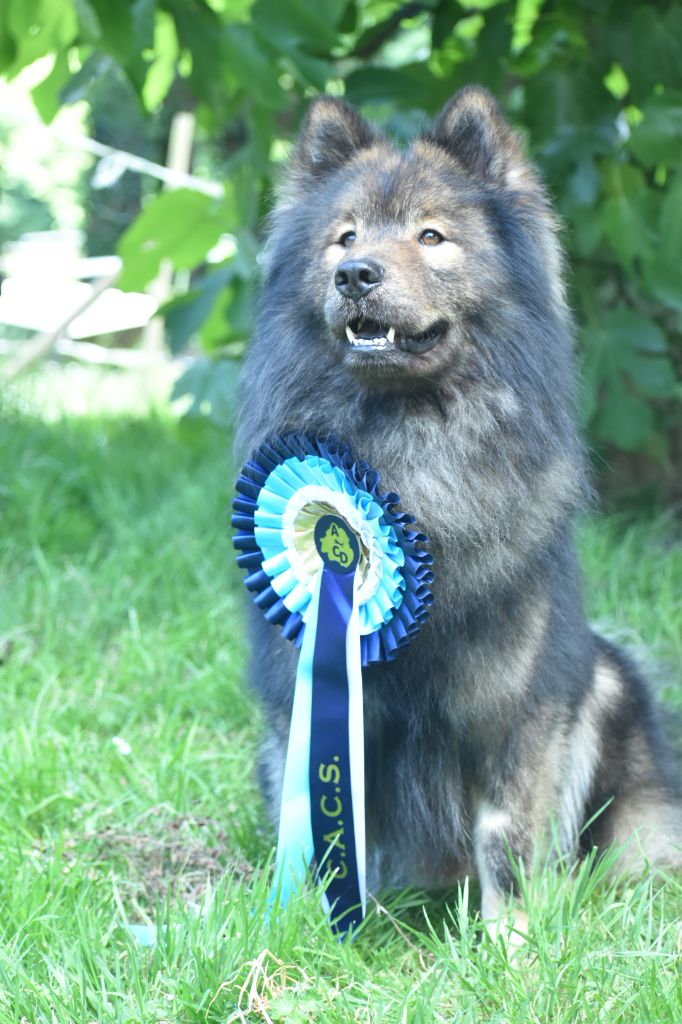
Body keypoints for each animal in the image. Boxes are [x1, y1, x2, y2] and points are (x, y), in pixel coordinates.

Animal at [235, 88, 679, 933]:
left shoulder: (515, 708)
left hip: (607, 678)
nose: (354, 274)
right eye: (345, 236)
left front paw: (511, 944)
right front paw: (312, 930)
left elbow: (506, 836)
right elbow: (317, 818)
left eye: (431, 236)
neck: (406, 460)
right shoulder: (303, 686)